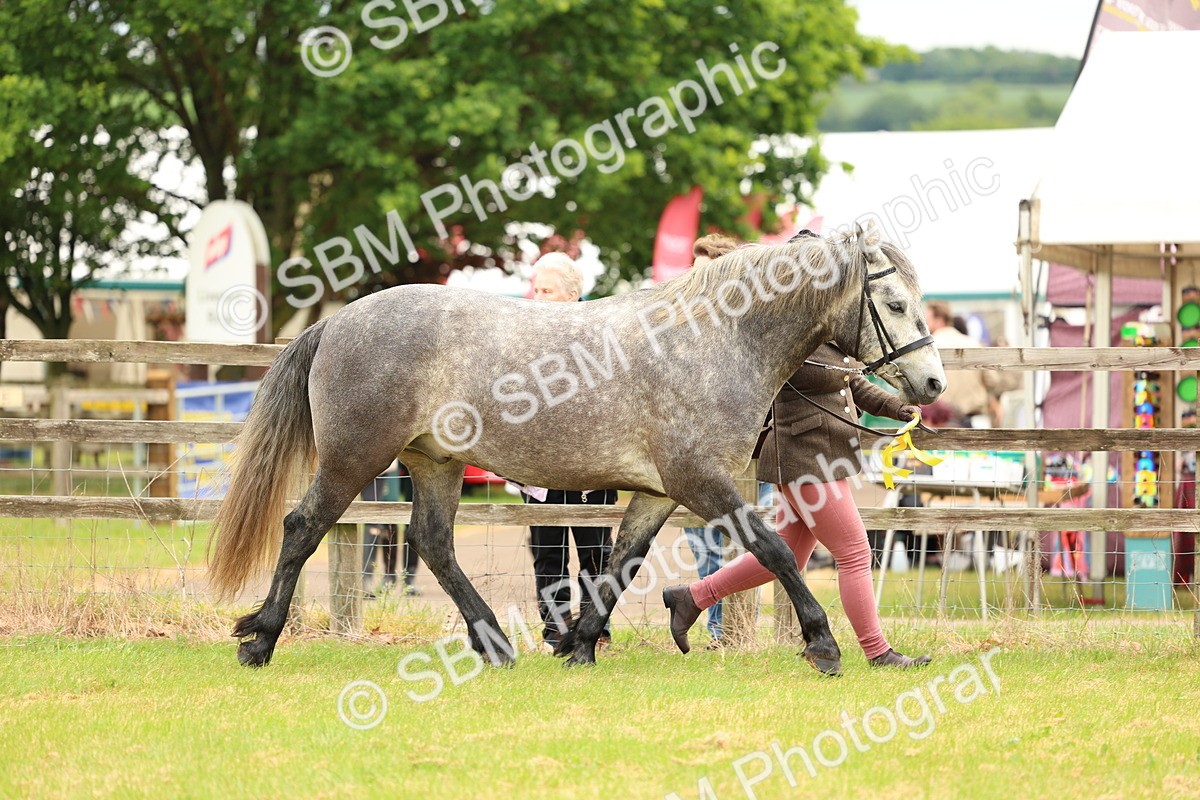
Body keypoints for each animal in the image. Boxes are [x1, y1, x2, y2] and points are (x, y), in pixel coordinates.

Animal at [208, 221, 946, 673]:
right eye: (895, 304)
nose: (933, 384)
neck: (713, 339)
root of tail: (337, 321)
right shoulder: (700, 480)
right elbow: (772, 551)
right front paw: (823, 644)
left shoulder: (657, 492)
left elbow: (618, 566)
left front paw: (581, 648)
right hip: (354, 458)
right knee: (303, 527)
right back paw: (260, 639)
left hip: (436, 463)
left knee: (433, 545)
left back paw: (495, 644)